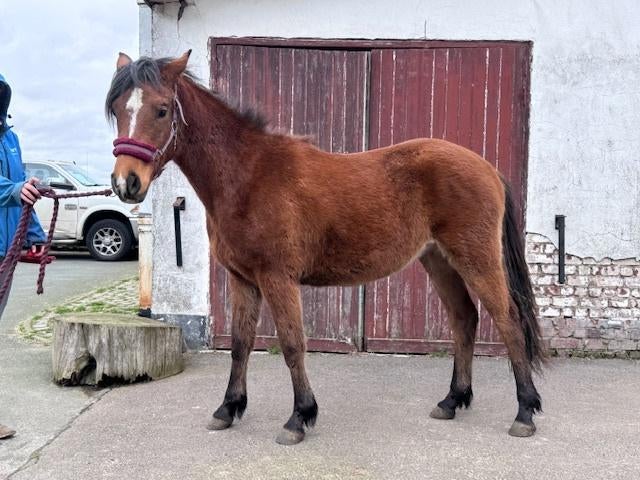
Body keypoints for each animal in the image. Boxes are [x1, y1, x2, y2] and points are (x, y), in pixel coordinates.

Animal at [106, 50, 545, 445]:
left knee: (507, 320)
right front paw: (228, 409)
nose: (127, 183)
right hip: (438, 260)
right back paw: (452, 400)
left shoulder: (277, 278)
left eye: (162, 110)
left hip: (476, 259)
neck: (248, 175)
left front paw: (299, 418)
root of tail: (487, 168)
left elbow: (292, 344)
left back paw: (525, 412)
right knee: (464, 319)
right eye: (116, 109)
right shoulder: (243, 280)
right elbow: (240, 344)